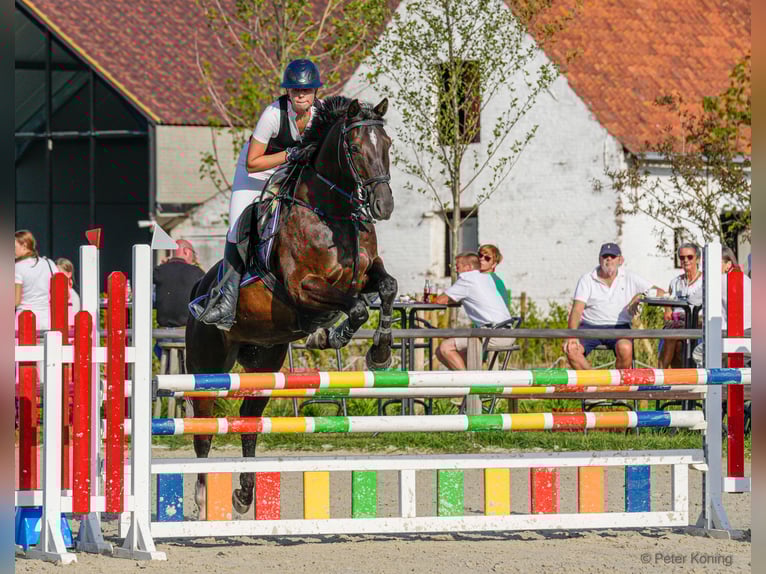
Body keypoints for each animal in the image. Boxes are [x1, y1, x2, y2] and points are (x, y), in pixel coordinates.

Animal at [185, 96, 398, 518]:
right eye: (355, 150)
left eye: (387, 146)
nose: (383, 206)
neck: (333, 213)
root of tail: (200, 289)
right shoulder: (303, 288)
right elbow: (355, 307)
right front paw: (332, 335)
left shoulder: (366, 274)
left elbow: (386, 289)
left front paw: (379, 354)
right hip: (207, 367)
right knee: (204, 432)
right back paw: (201, 503)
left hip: (264, 361)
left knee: (249, 422)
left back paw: (244, 494)